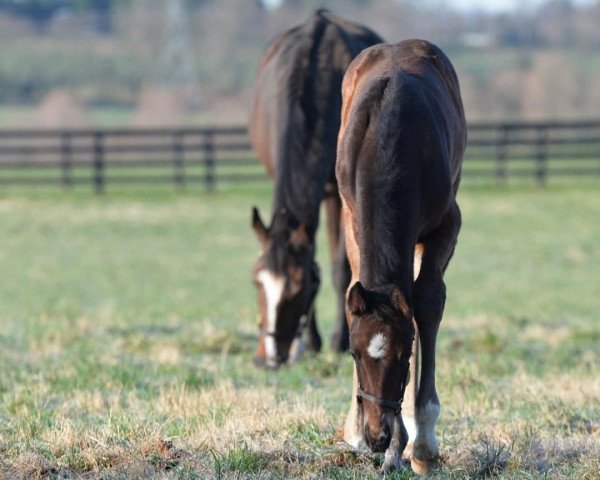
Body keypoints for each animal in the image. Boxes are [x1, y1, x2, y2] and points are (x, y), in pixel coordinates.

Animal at [250, 10, 384, 368]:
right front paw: (311, 342)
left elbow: (341, 269)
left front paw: (339, 339)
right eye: (257, 282)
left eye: (300, 287)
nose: (270, 358)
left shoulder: (341, 195)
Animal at [336, 38, 466, 472]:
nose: (378, 436)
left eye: (403, 356)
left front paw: (420, 445)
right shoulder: (351, 217)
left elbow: (427, 303)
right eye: (354, 353)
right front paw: (371, 437)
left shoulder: (448, 222)